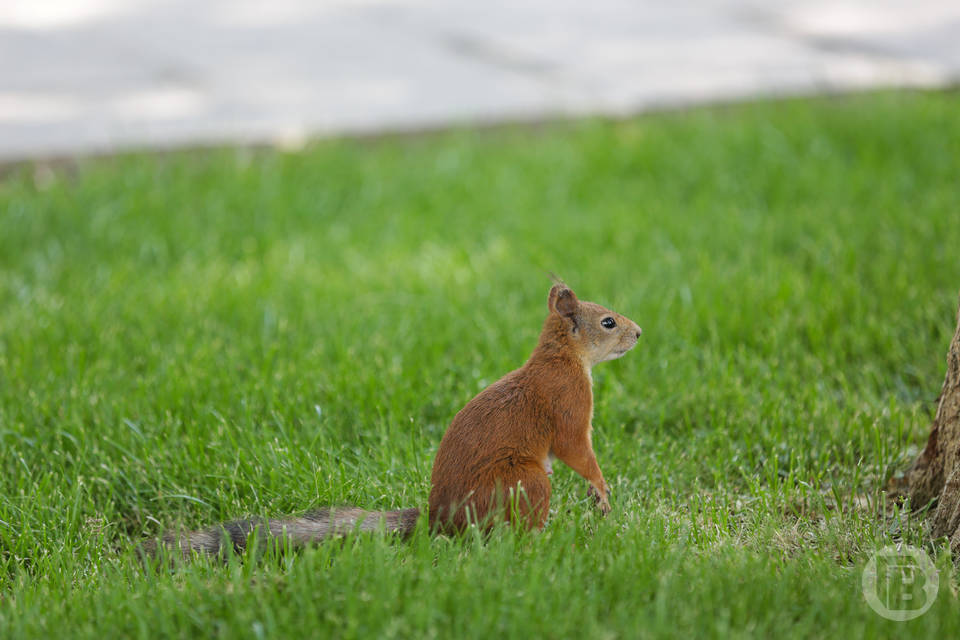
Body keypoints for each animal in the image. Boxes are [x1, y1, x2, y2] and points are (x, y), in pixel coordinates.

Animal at [146, 282, 640, 556]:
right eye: (608, 322)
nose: (638, 332)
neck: (563, 359)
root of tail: (440, 521)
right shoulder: (567, 404)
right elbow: (578, 450)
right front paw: (602, 491)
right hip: (525, 482)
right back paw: (540, 540)